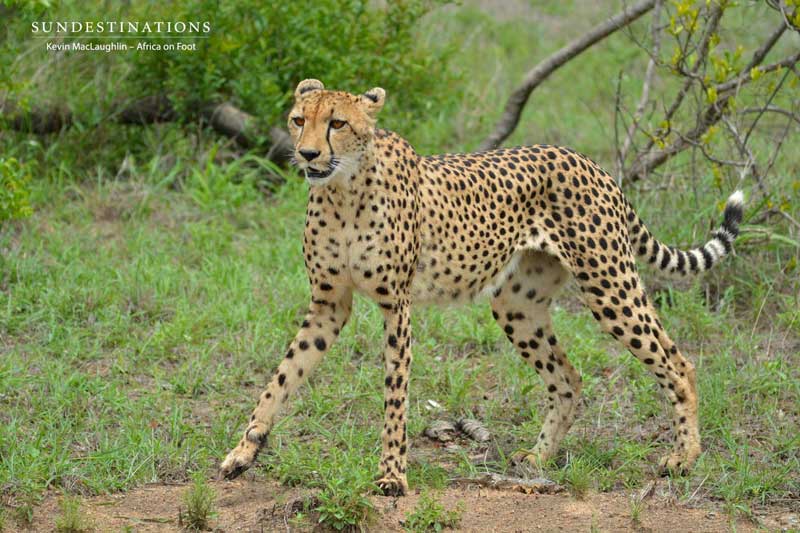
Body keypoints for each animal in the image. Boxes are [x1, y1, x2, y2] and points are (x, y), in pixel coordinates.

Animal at [219, 79, 744, 496]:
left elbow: (394, 395)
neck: (342, 190)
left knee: (678, 362)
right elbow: (281, 377)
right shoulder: (329, 303)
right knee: (568, 377)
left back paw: (683, 457)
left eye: (337, 124)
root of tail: (586, 160)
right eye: (298, 119)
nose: (307, 154)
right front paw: (244, 450)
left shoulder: (397, 307)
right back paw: (538, 458)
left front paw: (392, 476)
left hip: (609, 284)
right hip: (517, 305)